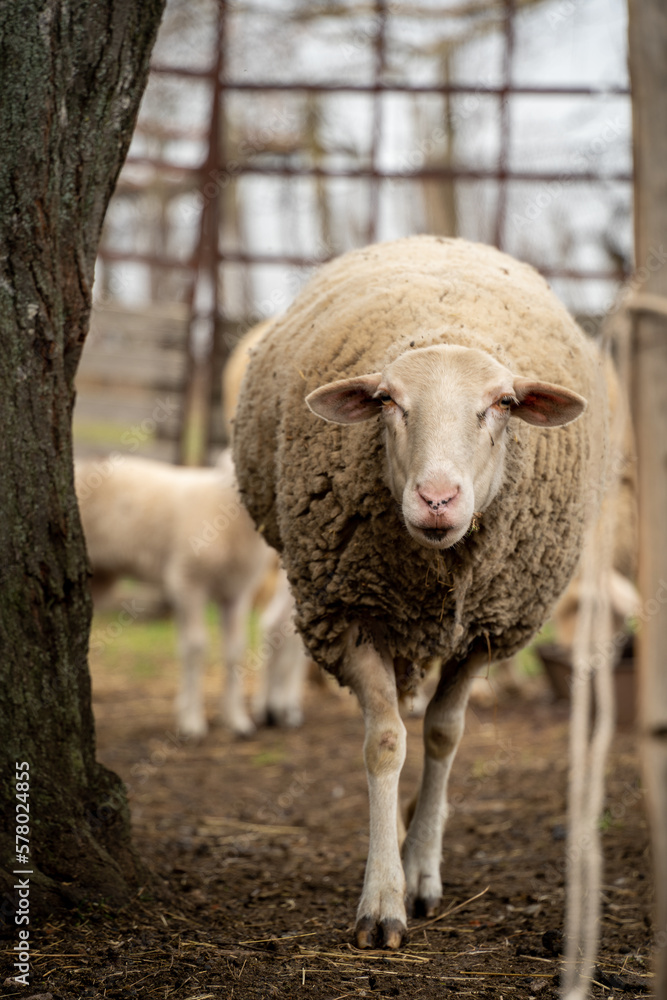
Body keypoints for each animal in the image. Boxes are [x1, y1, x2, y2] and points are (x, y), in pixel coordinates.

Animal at [76, 453, 306, 737]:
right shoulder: (188, 582)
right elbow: (195, 648)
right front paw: (193, 722)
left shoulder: (236, 591)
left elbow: (233, 650)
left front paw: (237, 720)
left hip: (101, 577)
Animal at [233, 234, 613, 949]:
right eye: (388, 401)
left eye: (503, 404)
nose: (437, 499)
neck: (439, 569)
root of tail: (443, 239)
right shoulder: (347, 614)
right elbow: (386, 742)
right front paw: (383, 901)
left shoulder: (489, 628)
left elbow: (443, 735)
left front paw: (421, 869)